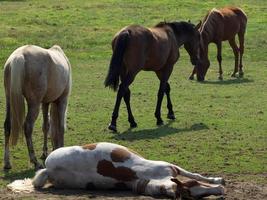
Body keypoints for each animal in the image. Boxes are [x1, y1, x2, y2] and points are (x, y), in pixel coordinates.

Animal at [7, 141, 226, 199]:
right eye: (192, 189)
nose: (222, 192)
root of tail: (48, 169)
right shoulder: (170, 166)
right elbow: (194, 173)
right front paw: (218, 181)